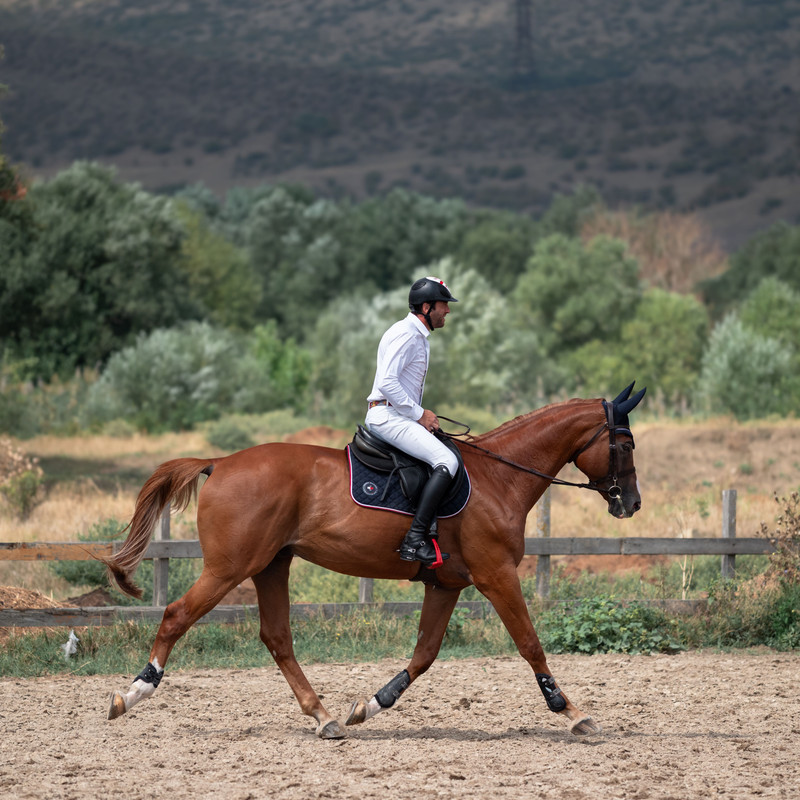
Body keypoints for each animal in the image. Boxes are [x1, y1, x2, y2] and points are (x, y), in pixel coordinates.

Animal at [104, 383, 646, 739]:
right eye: (624, 444)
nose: (632, 504)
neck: (500, 478)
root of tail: (219, 463)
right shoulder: (497, 576)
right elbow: (530, 643)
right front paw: (570, 710)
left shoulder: (446, 585)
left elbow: (424, 654)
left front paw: (370, 706)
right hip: (229, 568)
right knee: (176, 616)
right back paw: (130, 695)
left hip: (271, 565)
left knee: (277, 639)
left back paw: (325, 718)